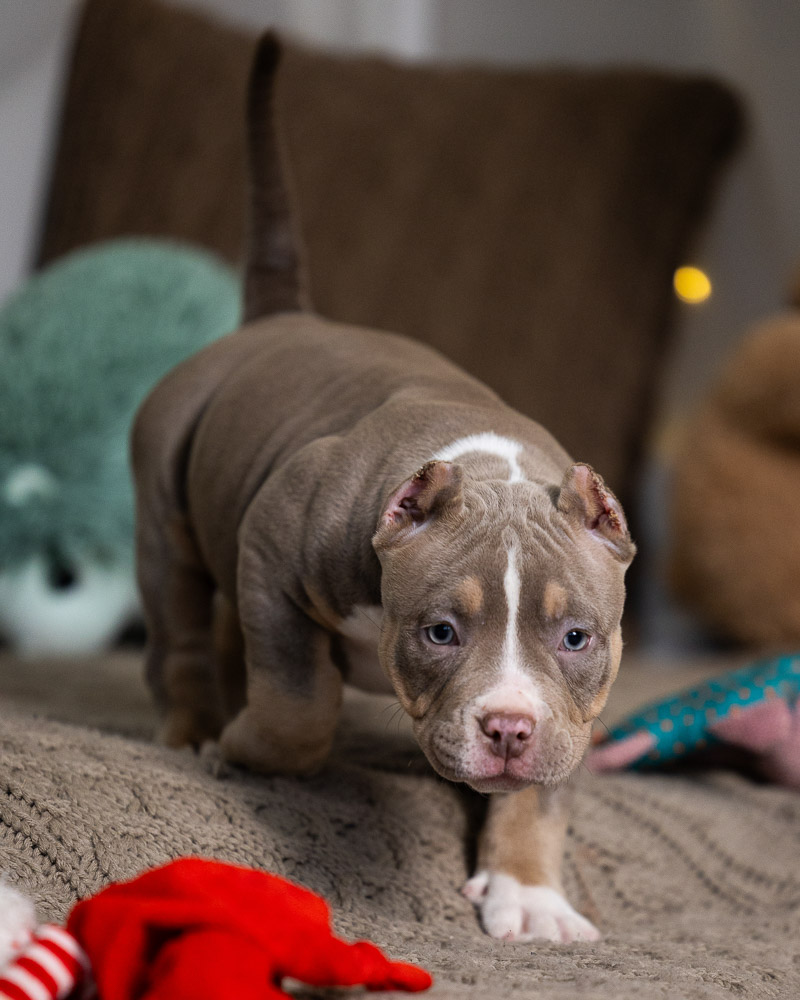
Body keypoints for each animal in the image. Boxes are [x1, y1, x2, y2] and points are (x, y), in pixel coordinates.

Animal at [132, 34, 635, 944]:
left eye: (577, 637)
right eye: (440, 632)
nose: (509, 728)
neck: (490, 466)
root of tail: (279, 320)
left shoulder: (583, 698)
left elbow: (545, 790)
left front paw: (530, 891)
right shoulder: (275, 546)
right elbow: (299, 704)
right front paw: (248, 742)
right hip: (165, 514)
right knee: (180, 628)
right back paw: (195, 725)